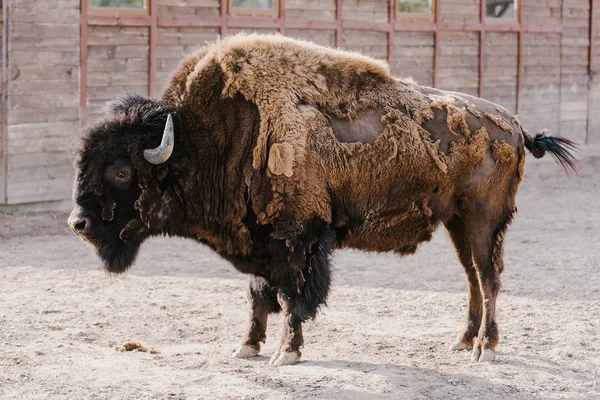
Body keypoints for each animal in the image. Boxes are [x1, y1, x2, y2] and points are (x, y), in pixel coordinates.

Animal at [69, 34, 576, 366]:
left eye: (120, 170)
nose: (78, 223)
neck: (208, 139)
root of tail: (515, 125)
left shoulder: (298, 239)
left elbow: (292, 295)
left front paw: (285, 353)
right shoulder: (261, 240)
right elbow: (258, 295)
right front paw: (247, 346)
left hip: (484, 222)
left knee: (489, 279)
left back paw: (484, 349)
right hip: (456, 223)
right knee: (473, 278)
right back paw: (463, 341)